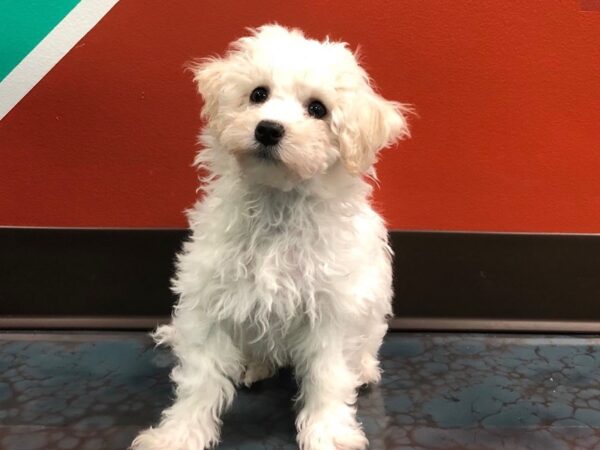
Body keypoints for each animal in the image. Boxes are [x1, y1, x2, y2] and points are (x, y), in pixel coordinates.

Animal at [132, 23, 408, 450]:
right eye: (258, 94)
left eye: (318, 109)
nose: (267, 129)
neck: (276, 205)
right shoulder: (209, 302)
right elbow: (199, 380)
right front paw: (178, 435)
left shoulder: (332, 310)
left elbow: (328, 375)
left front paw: (328, 432)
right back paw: (252, 365)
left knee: (364, 347)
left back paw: (363, 369)